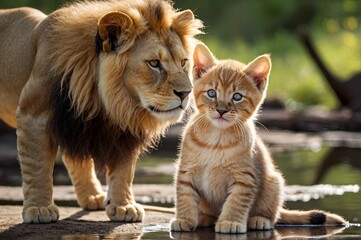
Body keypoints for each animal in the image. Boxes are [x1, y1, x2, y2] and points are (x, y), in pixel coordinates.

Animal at [0, 0, 201, 225]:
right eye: (154, 63)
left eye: (183, 62)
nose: (186, 92)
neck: (110, 101)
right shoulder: (33, 115)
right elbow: (37, 165)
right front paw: (39, 208)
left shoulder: (123, 127)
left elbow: (124, 171)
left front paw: (124, 206)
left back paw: (94, 197)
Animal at [170, 42, 344, 233]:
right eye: (211, 93)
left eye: (237, 96)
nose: (221, 110)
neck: (216, 138)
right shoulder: (186, 171)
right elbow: (184, 196)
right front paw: (184, 219)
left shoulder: (244, 178)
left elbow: (235, 202)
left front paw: (230, 222)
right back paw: (204, 217)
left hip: (275, 181)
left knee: (273, 215)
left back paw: (259, 219)